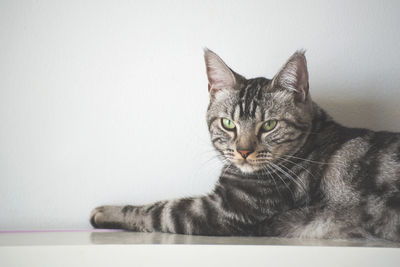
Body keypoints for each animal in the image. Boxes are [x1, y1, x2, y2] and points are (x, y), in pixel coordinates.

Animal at [90, 48, 400, 243]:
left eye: (269, 125)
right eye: (228, 124)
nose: (243, 151)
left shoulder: (216, 210)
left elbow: (156, 210)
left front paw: (105, 212)